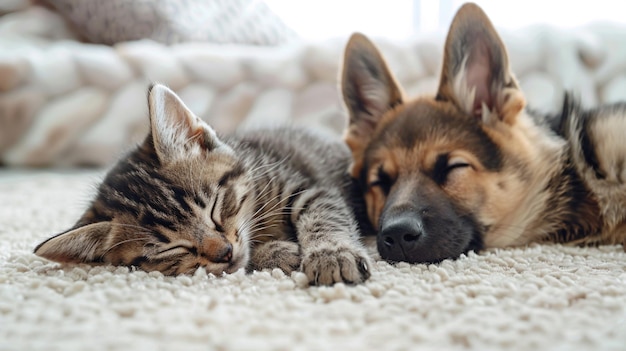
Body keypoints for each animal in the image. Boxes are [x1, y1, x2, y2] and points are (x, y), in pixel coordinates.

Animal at [33, 84, 370, 286]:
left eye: (214, 207)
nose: (224, 253)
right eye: (172, 248)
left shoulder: (305, 188)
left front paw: (332, 254)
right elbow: (250, 257)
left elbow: (322, 217)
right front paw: (278, 253)